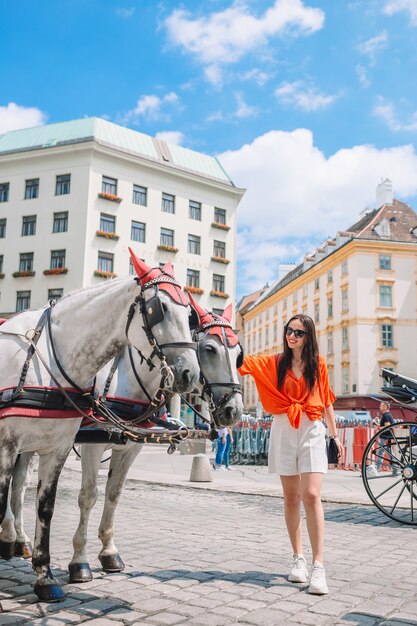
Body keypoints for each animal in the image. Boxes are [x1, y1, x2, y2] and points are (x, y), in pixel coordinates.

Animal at [0, 249, 198, 600]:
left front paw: (46, 576)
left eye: (189, 315)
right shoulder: (13, 445)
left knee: (20, 487)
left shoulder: (61, 448)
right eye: (158, 308)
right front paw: (79, 563)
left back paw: (17, 541)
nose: (189, 374)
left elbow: (50, 506)